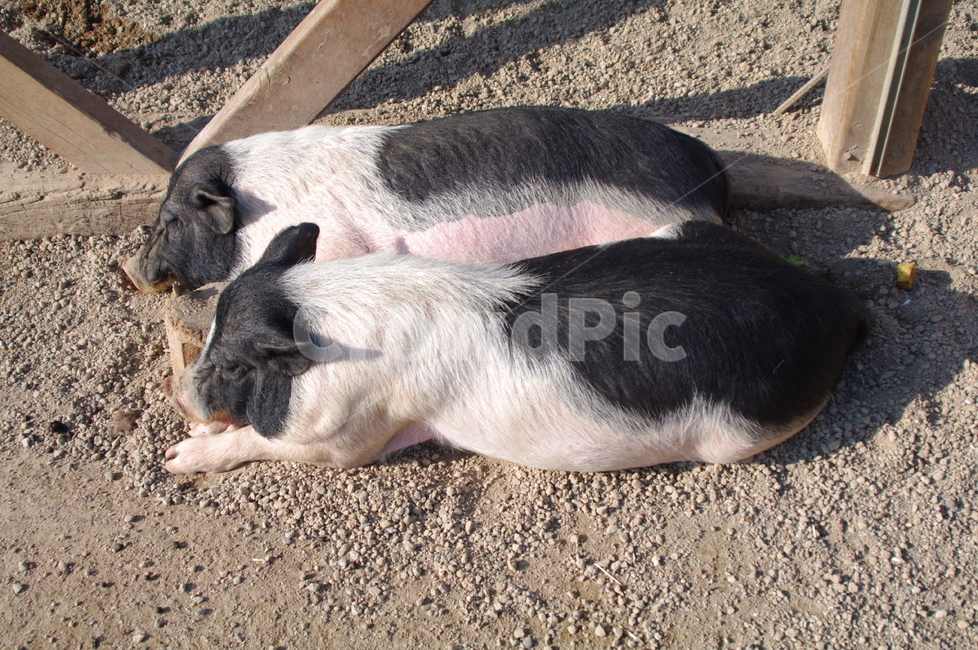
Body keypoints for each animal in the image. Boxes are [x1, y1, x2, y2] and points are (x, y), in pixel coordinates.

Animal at [163, 221, 870, 475]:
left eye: (235, 364)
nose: (181, 396)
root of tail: (829, 301)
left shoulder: (352, 431)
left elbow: (279, 445)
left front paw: (176, 459)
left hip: (736, 434)